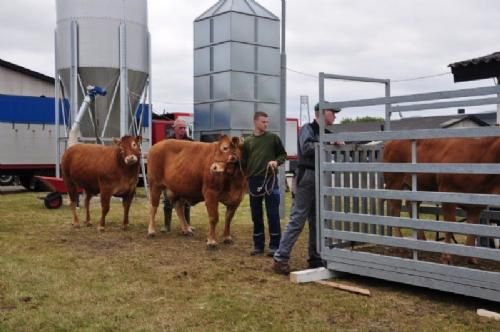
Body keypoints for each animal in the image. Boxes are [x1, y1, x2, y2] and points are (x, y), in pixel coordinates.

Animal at [384, 136, 498, 264]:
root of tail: (391, 142)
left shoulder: (476, 205)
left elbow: (473, 227)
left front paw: (471, 257)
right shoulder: (447, 193)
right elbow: (450, 224)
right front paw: (446, 257)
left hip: (419, 186)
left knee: (410, 205)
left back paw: (422, 241)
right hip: (394, 183)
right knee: (395, 210)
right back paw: (400, 245)